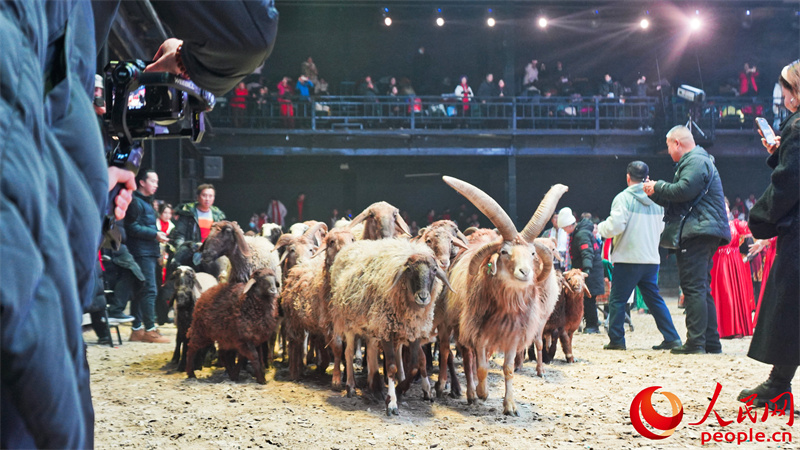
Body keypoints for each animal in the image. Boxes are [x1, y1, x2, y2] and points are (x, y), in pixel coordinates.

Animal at [432, 178, 568, 416]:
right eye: (504, 252)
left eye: (533, 253)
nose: (525, 272)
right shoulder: (478, 332)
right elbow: (482, 367)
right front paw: (483, 392)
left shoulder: (512, 334)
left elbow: (508, 368)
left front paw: (510, 405)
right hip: (450, 322)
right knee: (448, 350)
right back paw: (451, 388)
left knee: (467, 357)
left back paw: (470, 393)